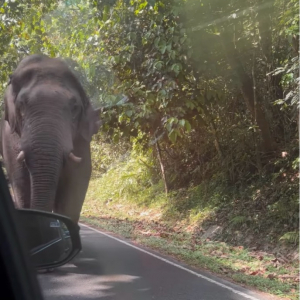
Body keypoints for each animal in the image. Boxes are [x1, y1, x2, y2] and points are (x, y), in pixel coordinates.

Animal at [0, 54, 101, 223]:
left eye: (74, 108)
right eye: (21, 106)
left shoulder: (81, 139)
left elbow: (76, 183)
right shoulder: (10, 136)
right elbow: (21, 183)